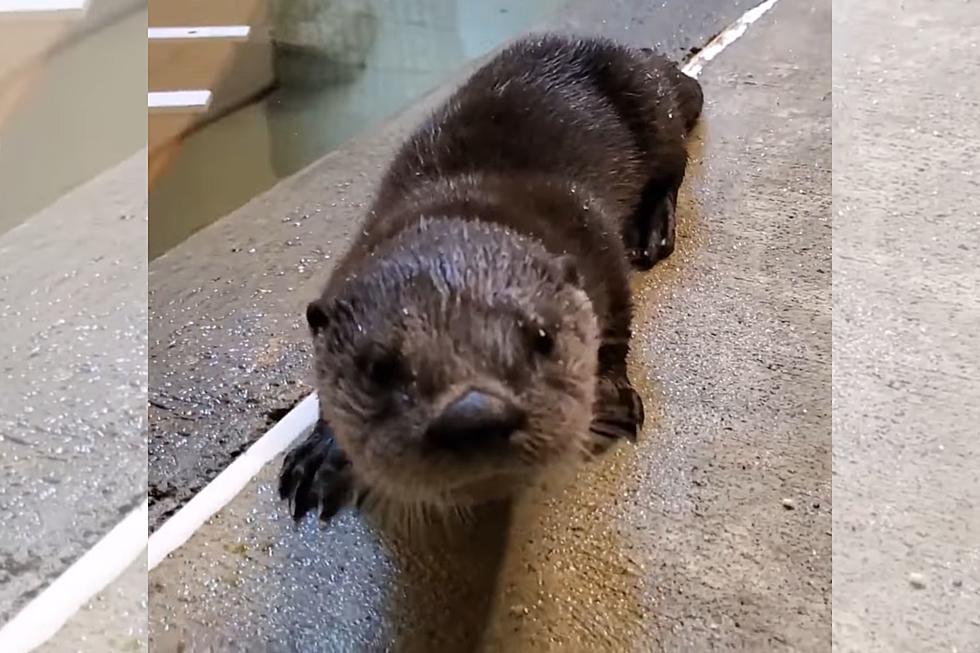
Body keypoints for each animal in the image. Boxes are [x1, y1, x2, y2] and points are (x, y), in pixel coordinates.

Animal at [280, 34, 700, 524]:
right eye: (377, 367)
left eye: (543, 337)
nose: (474, 414)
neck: (461, 201)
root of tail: (646, 58)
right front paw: (322, 451)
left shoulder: (596, 240)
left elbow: (616, 325)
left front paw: (610, 396)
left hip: (650, 106)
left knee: (673, 163)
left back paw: (653, 227)